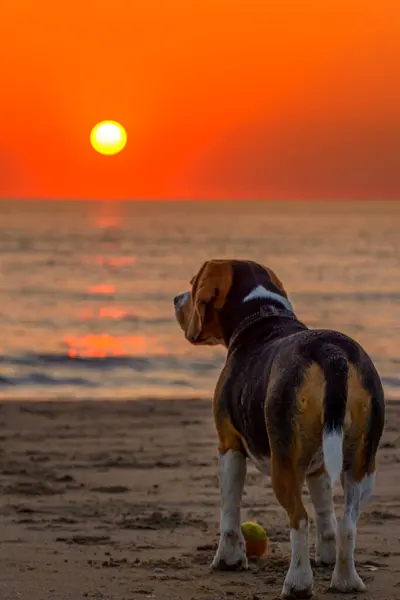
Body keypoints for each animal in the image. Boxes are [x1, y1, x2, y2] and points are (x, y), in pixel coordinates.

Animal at [173, 260, 386, 596]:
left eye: (193, 283)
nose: (175, 299)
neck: (264, 314)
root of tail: (331, 353)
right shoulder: (318, 466)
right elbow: (325, 512)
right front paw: (326, 555)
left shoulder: (228, 446)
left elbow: (230, 511)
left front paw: (228, 559)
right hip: (362, 465)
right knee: (347, 523)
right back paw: (345, 580)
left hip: (282, 464)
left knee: (299, 519)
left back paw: (297, 582)